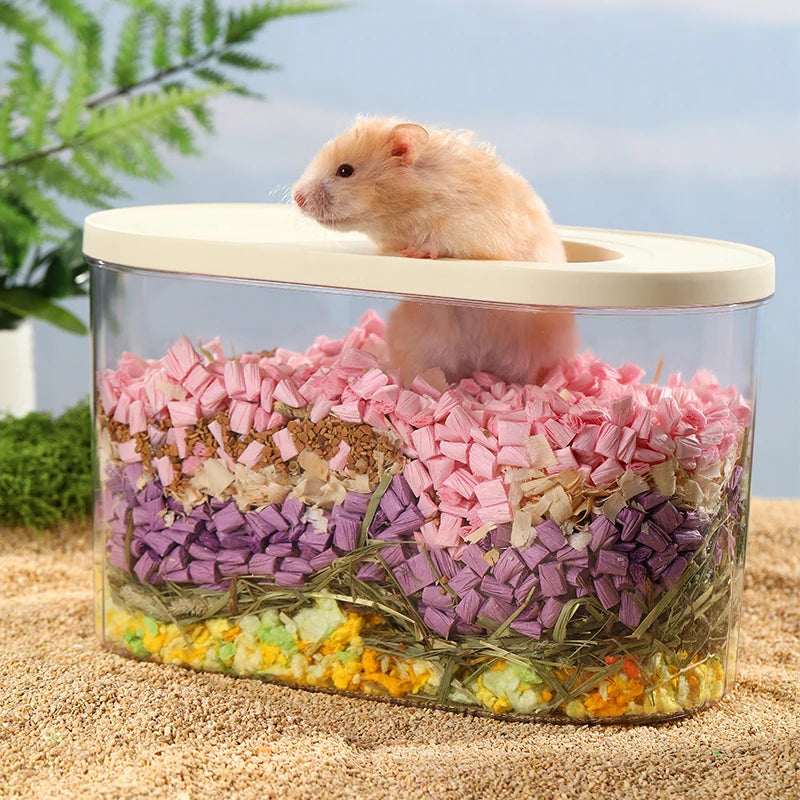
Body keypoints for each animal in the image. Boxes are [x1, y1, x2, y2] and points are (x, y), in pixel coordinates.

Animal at [292, 116, 576, 385]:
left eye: (345, 170)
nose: (297, 198)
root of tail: (477, 367)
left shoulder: (476, 230)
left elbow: (444, 242)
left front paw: (416, 252)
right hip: (423, 352)